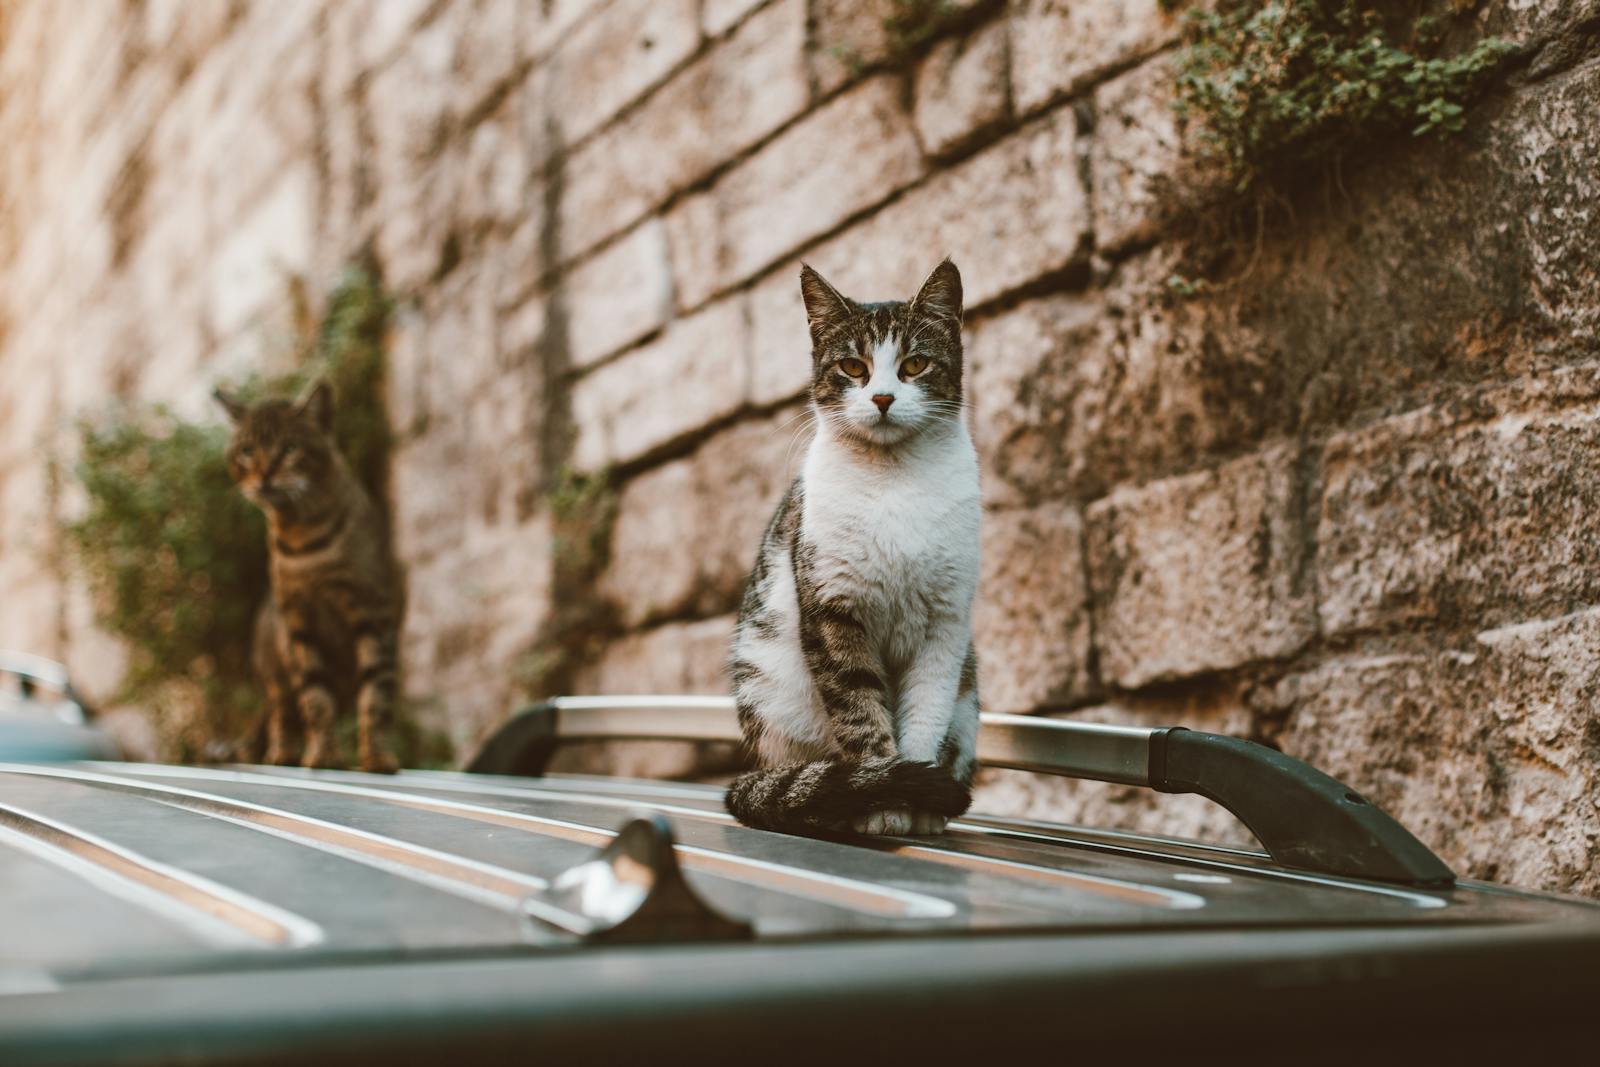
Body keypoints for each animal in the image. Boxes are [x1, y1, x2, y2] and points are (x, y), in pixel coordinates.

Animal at [216, 379, 403, 771]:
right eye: (247, 451)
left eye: (290, 448)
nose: (264, 475)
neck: (304, 540)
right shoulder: (299, 622)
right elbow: (315, 699)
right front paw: (324, 754)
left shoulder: (372, 613)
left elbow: (376, 695)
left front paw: (376, 756)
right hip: (274, 668)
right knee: (282, 712)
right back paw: (282, 753)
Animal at [729, 259, 979, 831]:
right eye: (852, 367)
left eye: (914, 364)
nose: (882, 398)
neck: (894, 480)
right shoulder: (831, 612)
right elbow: (861, 715)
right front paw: (883, 799)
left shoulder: (946, 624)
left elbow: (925, 715)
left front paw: (918, 794)